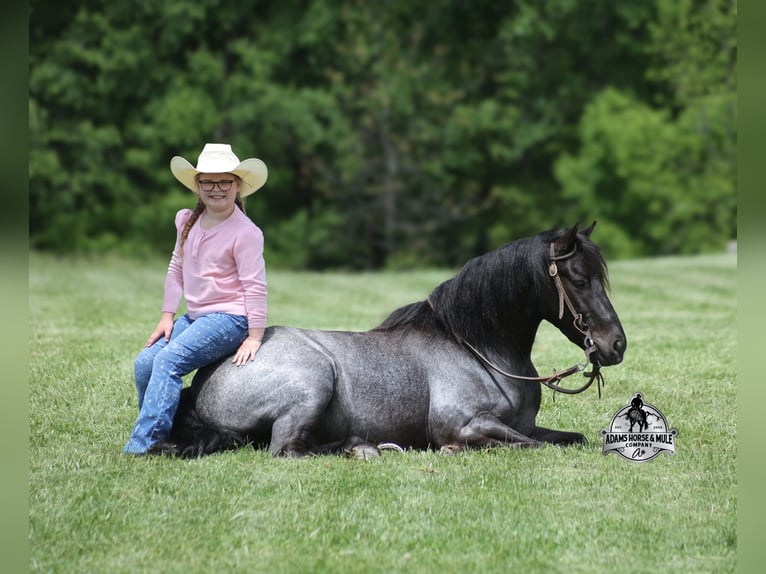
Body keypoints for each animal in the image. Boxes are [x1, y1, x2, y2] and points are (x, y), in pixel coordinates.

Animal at [151, 222, 626, 458]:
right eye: (579, 279)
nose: (616, 344)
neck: (479, 351)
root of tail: (207, 377)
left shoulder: (523, 426)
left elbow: (568, 439)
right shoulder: (466, 424)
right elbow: (530, 447)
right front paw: (450, 452)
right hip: (312, 383)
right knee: (288, 450)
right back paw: (366, 449)